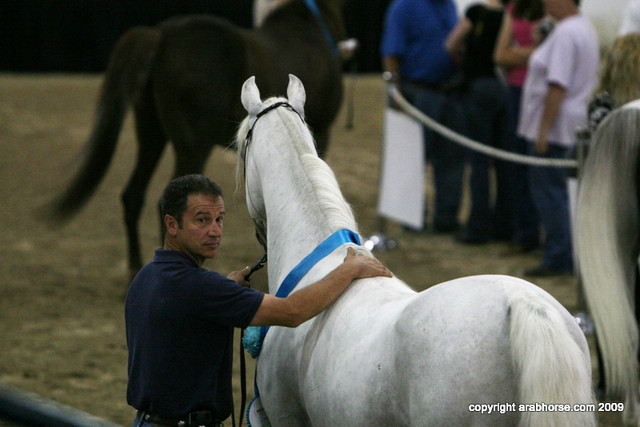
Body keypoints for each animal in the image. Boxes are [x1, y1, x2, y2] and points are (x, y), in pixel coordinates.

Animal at [43, 0, 346, 278]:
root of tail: (161, 35)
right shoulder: (321, 135)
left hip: (151, 133)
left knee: (133, 195)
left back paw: (135, 270)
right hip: (192, 145)